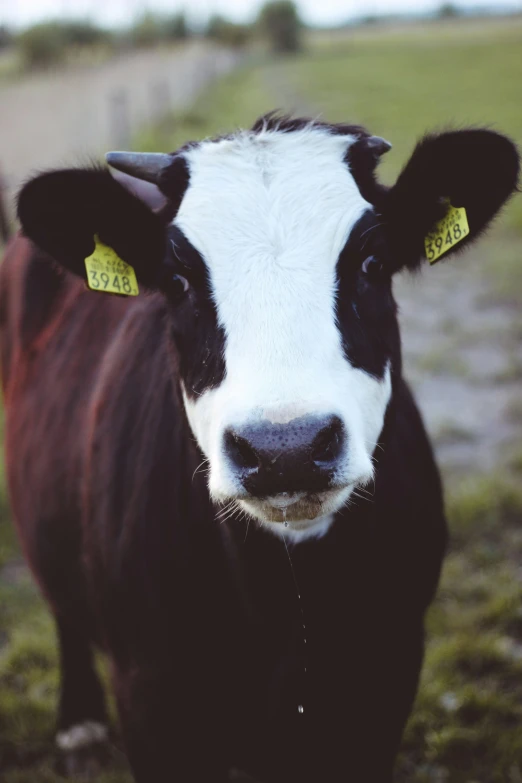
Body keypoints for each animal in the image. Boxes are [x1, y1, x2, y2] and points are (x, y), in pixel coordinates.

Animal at [0, 112, 516, 783]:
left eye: (373, 263)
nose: (285, 447)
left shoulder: (390, 670)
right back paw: (79, 722)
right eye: (176, 281)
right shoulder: (152, 692)